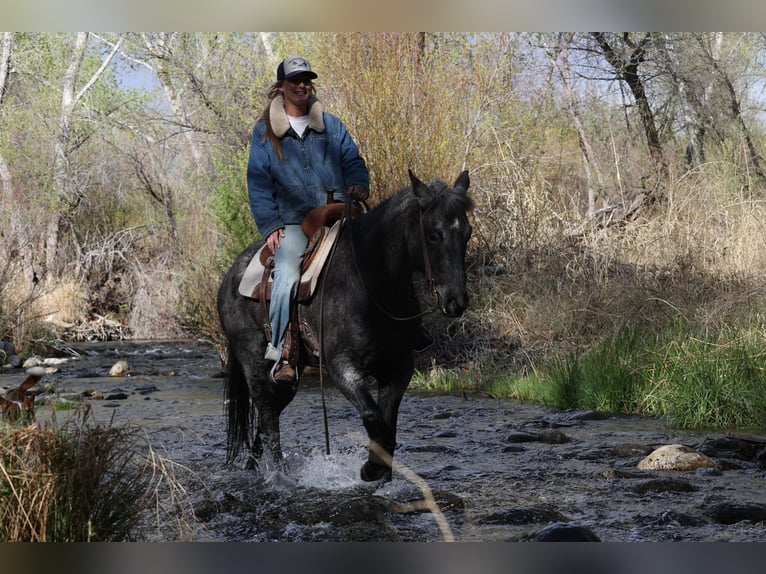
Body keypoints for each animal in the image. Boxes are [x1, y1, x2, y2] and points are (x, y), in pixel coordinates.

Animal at [217, 169, 473, 481]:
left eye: (467, 233)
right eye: (433, 235)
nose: (456, 301)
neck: (370, 283)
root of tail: (230, 277)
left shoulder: (398, 369)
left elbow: (387, 424)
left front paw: (382, 472)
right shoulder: (342, 368)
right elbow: (375, 418)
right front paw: (371, 469)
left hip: (290, 376)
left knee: (269, 419)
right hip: (255, 365)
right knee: (268, 420)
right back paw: (280, 476)